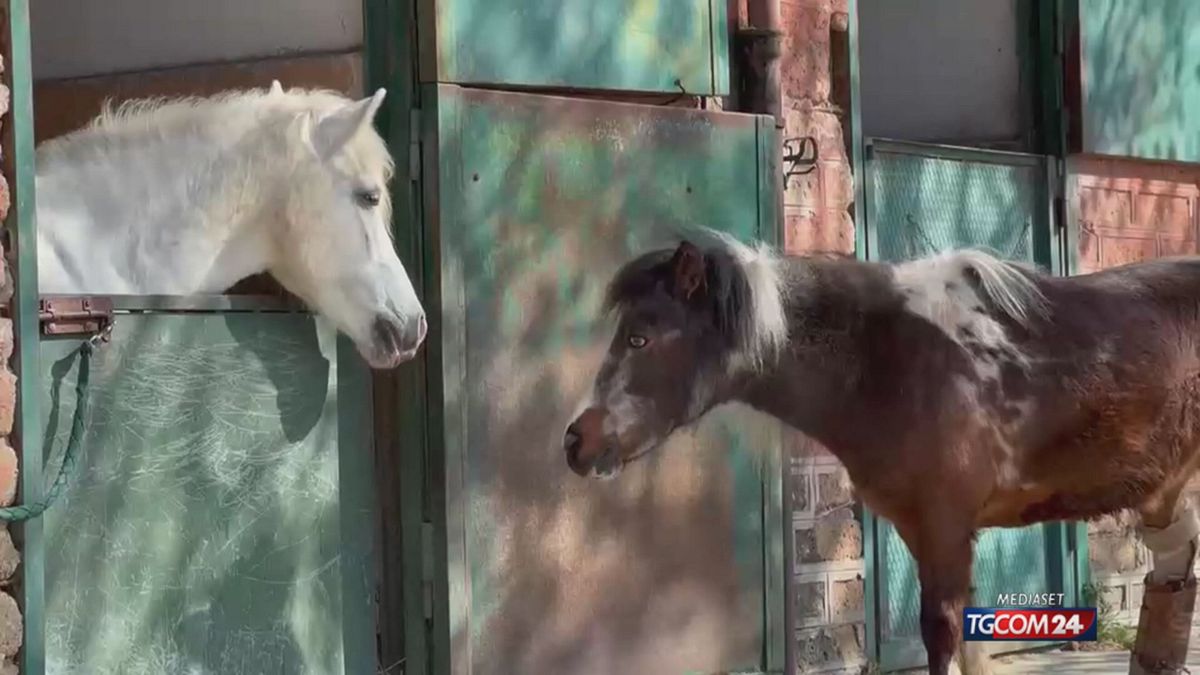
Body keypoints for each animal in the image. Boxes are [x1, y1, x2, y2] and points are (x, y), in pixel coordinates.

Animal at [562, 230, 1200, 674]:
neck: (885, 362)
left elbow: (941, 637)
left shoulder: (945, 528)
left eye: (640, 337)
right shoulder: (930, 531)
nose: (576, 442)